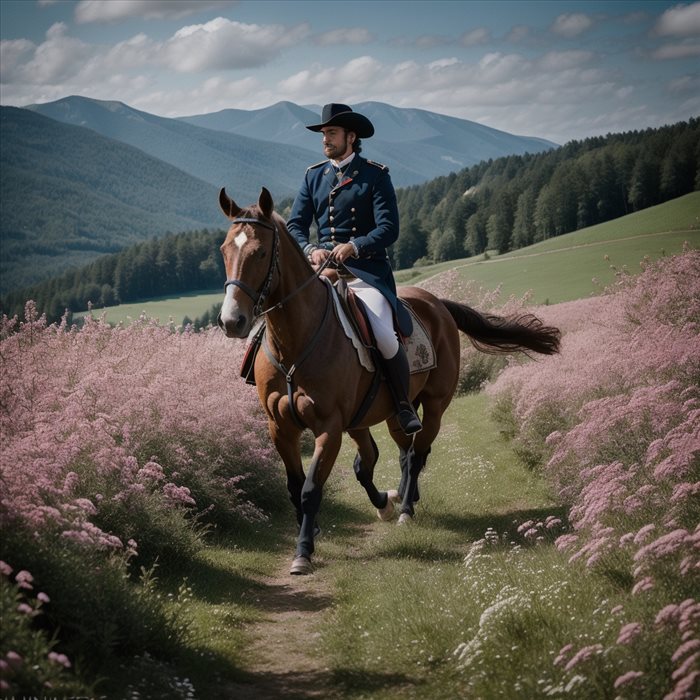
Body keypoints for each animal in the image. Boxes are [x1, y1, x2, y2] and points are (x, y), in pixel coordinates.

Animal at [216, 187, 560, 576]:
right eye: (225, 251)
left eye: (260, 252)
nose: (232, 321)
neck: (296, 341)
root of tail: (436, 303)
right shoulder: (280, 426)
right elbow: (297, 485)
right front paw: (317, 528)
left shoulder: (329, 427)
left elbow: (310, 488)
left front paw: (303, 552)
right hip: (391, 412)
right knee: (392, 453)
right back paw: (394, 499)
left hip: (434, 405)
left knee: (416, 452)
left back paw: (406, 508)